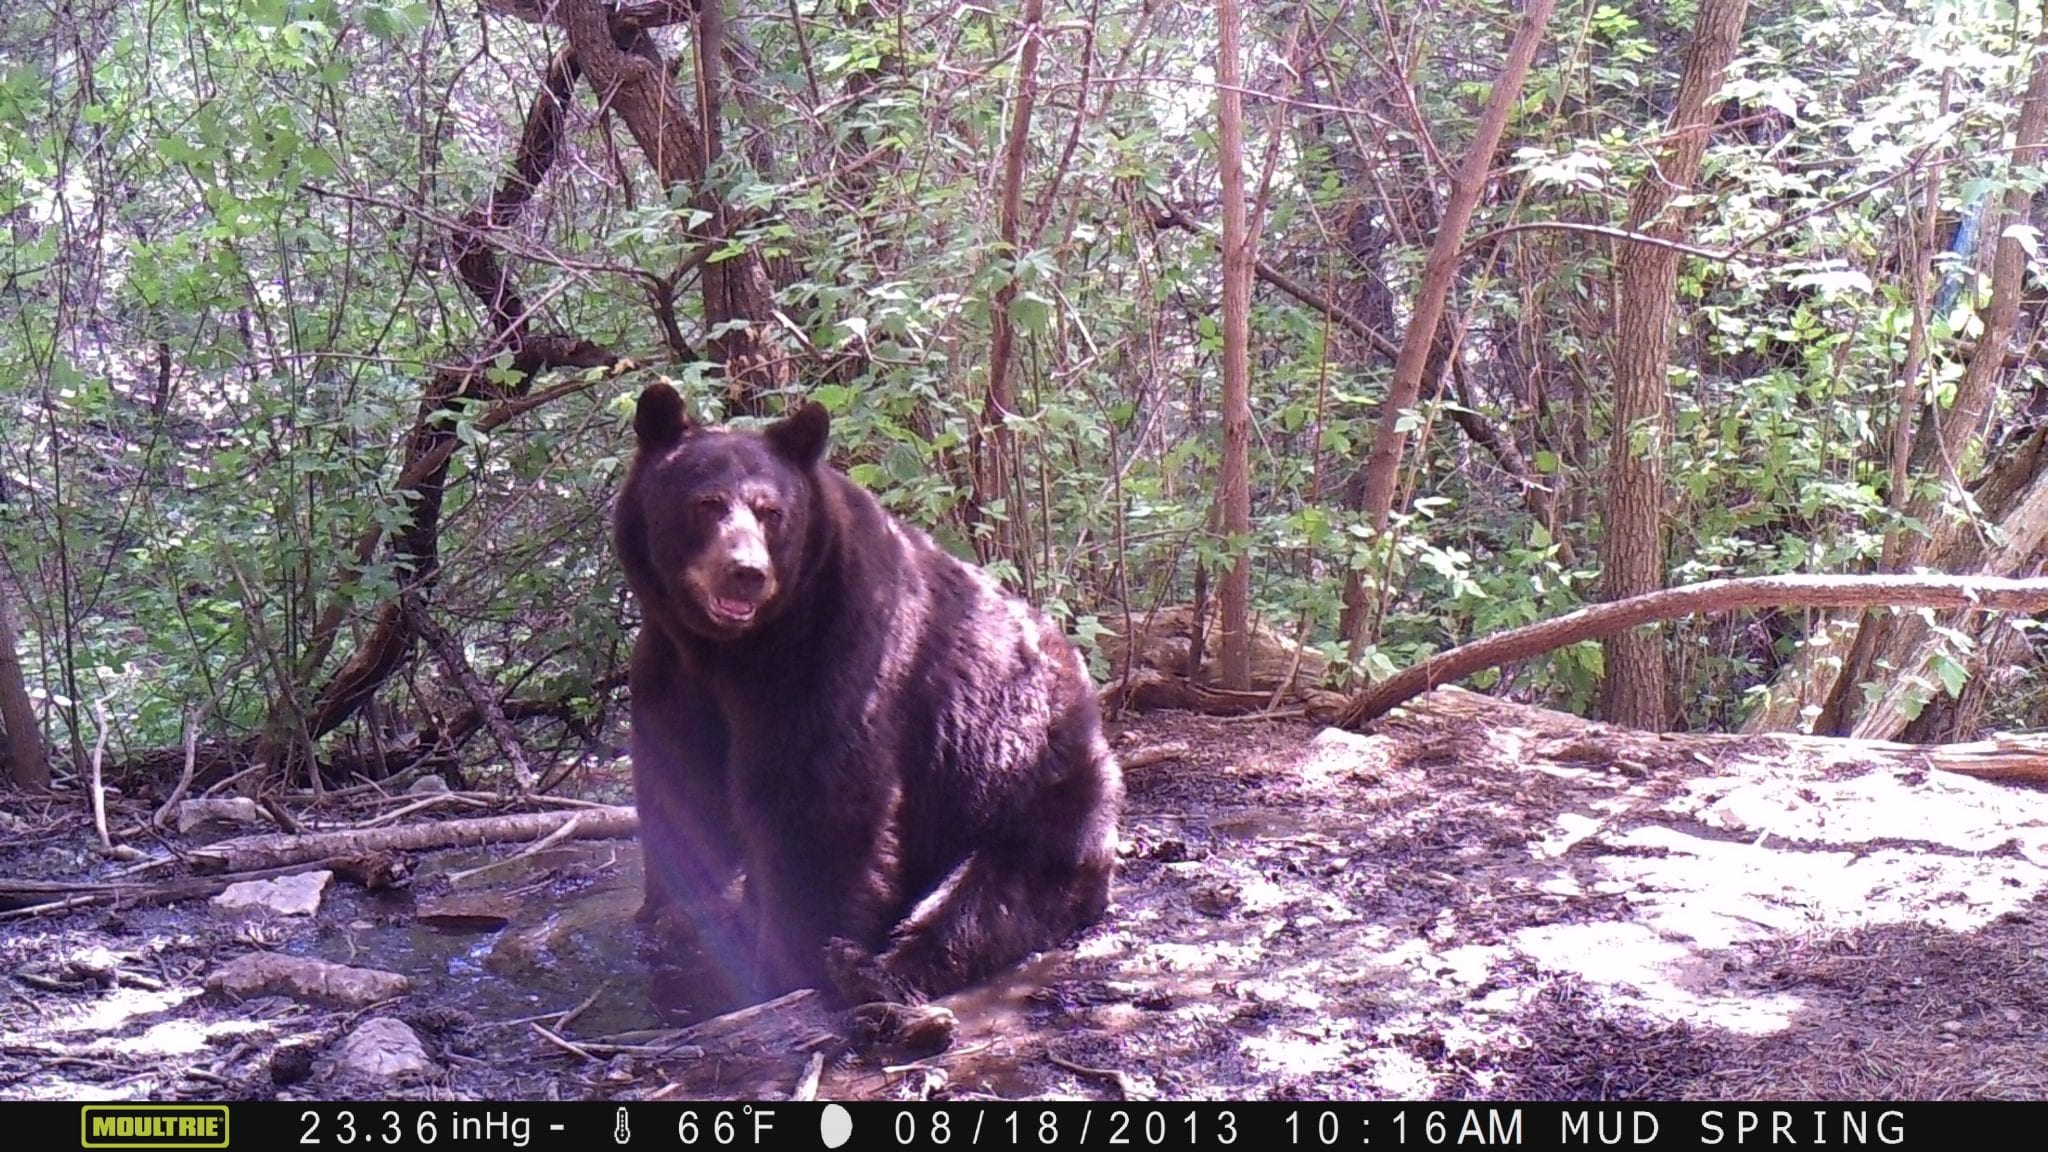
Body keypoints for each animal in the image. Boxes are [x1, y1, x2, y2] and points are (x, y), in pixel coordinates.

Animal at [610, 381, 1122, 1000]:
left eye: (772, 511)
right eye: (707, 501)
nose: (746, 571)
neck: (730, 652)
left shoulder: (829, 656)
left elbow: (821, 803)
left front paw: (793, 958)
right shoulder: (671, 678)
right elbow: (681, 792)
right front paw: (669, 915)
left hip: (1032, 784)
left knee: (996, 893)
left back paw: (883, 968)